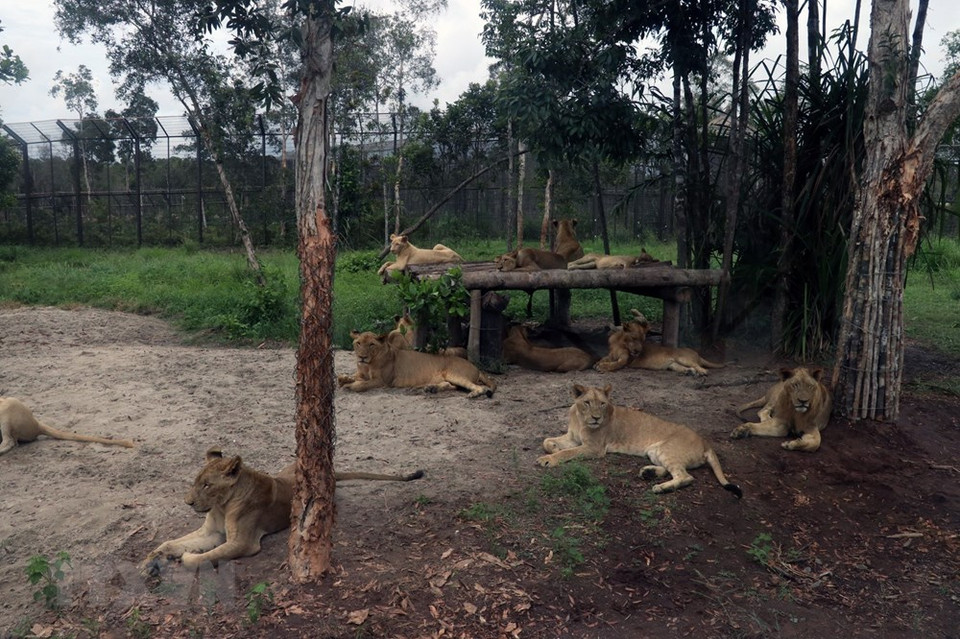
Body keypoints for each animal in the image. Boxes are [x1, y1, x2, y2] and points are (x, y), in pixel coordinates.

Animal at [142, 448, 423, 571]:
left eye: (207, 485)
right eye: (196, 482)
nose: (188, 502)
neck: (222, 505)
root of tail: (329, 472)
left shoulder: (244, 543)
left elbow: (208, 555)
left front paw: (185, 558)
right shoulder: (212, 532)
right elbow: (173, 541)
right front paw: (153, 558)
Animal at [338, 330, 496, 398]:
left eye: (371, 344)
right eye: (358, 343)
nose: (362, 357)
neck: (368, 364)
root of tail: (477, 368)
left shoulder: (383, 381)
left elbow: (362, 385)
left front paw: (350, 385)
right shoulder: (361, 373)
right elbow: (345, 376)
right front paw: (345, 379)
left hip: (455, 374)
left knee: (479, 387)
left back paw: (473, 394)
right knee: (451, 386)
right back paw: (430, 388)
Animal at [538, 384, 741, 498]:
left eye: (602, 404)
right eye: (587, 402)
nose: (596, 418)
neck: (581, 419)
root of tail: (705, 442)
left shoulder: (594, 448)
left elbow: (568, 452)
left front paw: (548, 459)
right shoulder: (573, 437)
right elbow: (546, 441)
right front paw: (552, 448)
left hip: (667, 450)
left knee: (686, 476)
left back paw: (660, 488)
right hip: (655, 451)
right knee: (672, 470)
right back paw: (648, 473)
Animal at [595, 310, 724, 376]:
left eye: (643, 339)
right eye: (634, 337)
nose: (638, 352)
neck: (620, 344)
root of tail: (697, 354)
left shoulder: (626, 360)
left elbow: (616, 364)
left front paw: (602, 367)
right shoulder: (611, 355)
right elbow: (604, 358)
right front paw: (597, 363)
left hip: (683, 358)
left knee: (698, 366)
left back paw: (702, 372)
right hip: (673, 364)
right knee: (686, 367)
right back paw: (689, 372)